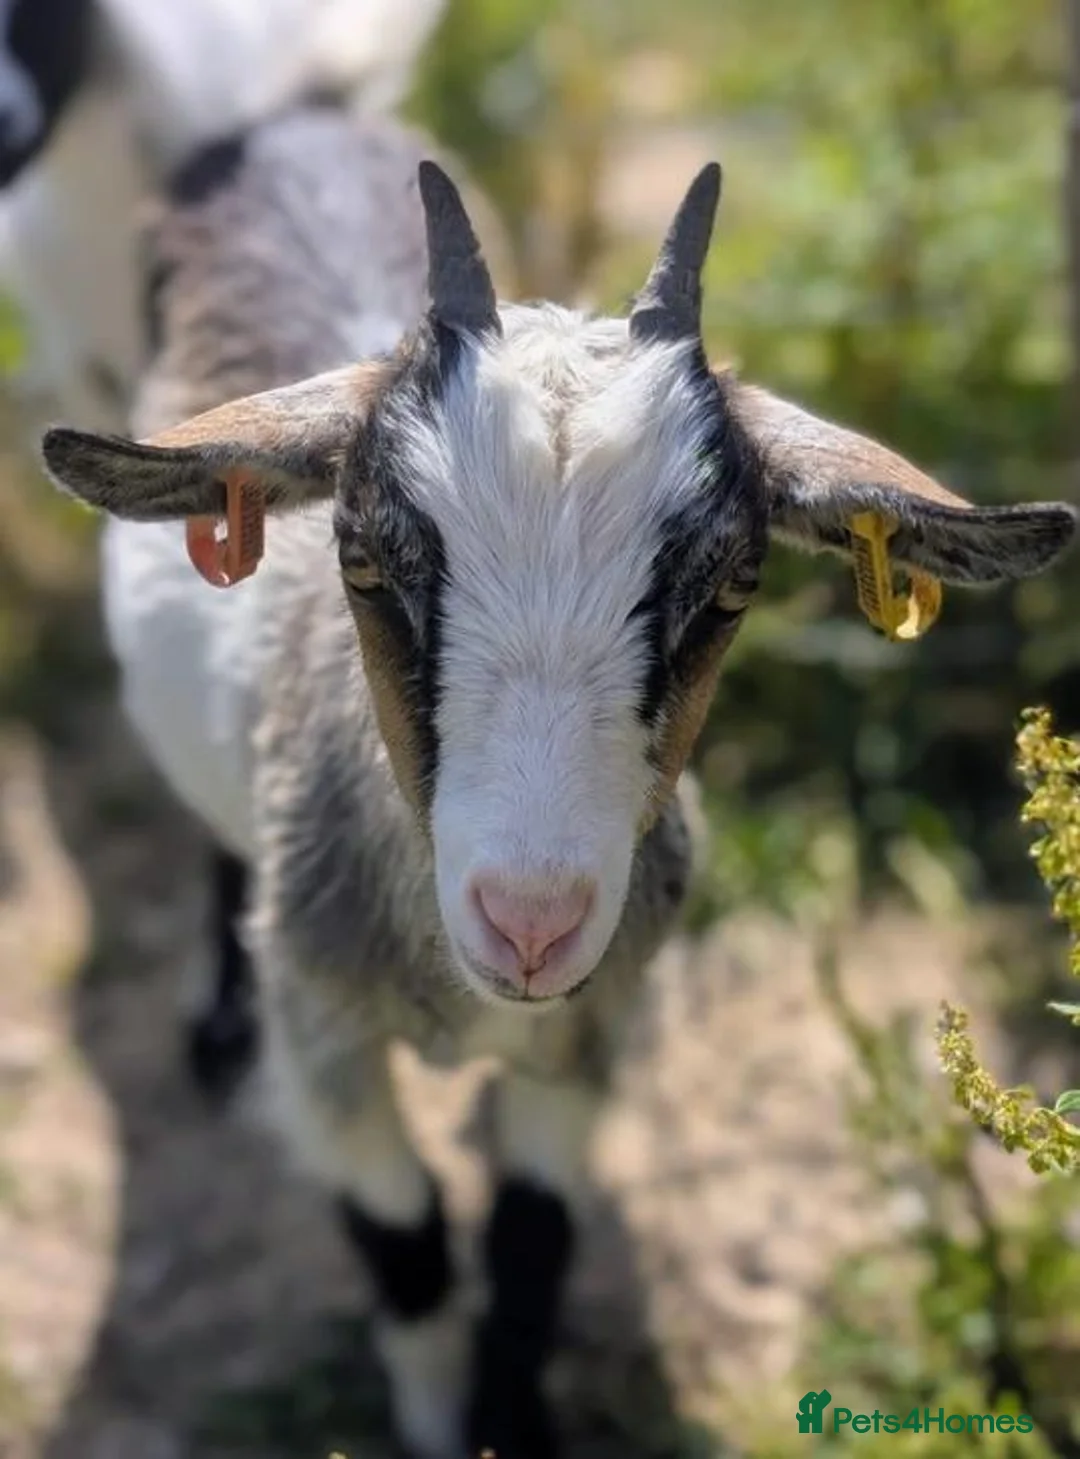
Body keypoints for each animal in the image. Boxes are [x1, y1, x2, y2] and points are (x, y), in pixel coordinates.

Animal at [40, 100, 1078, 1459]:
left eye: (732, 587)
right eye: (364, 560)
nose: (530, 923)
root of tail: (282, 121)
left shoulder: (593, 1031)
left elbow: (529, 1245)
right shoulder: (324, 1045)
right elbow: (408, 1238)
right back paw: (215, 1020)